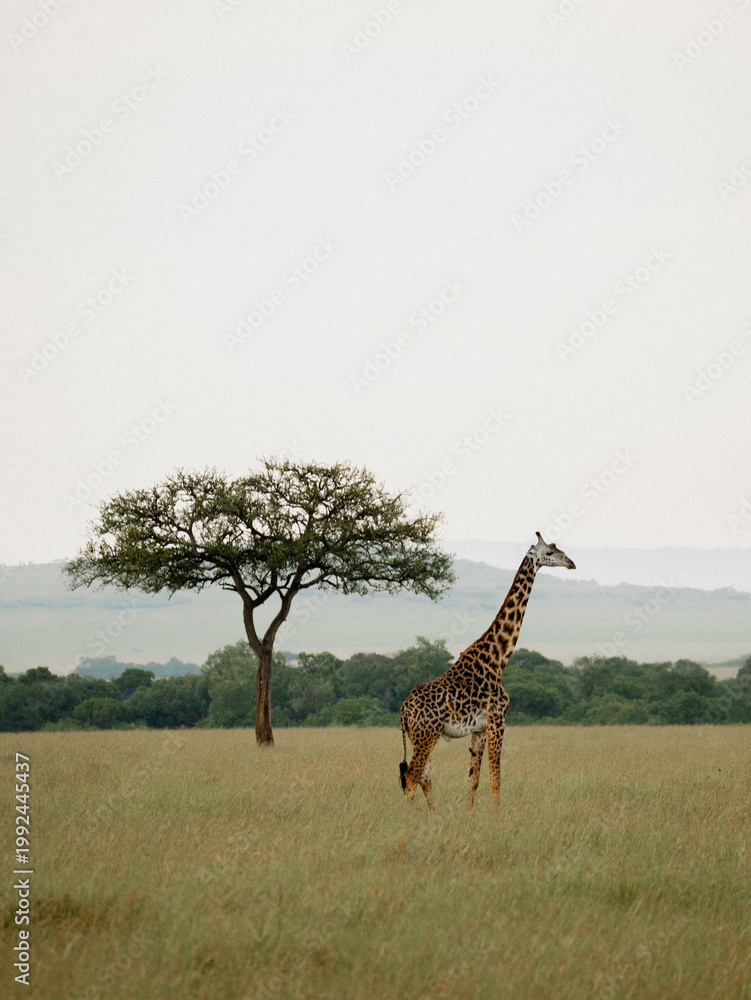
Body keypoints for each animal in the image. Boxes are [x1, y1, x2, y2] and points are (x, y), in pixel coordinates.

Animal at [399, 532, 575, 809]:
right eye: (549, 552)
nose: (571, 563)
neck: (498, 658)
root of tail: (403, 711)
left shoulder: (479, 729)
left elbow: (473, 778)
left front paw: (470, 813)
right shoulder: (497, 721)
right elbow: (496, 777)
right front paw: (498, 814)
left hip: (421, 736)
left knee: (423, 776)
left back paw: (432, 814)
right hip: (427, 734)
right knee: (412, 775)